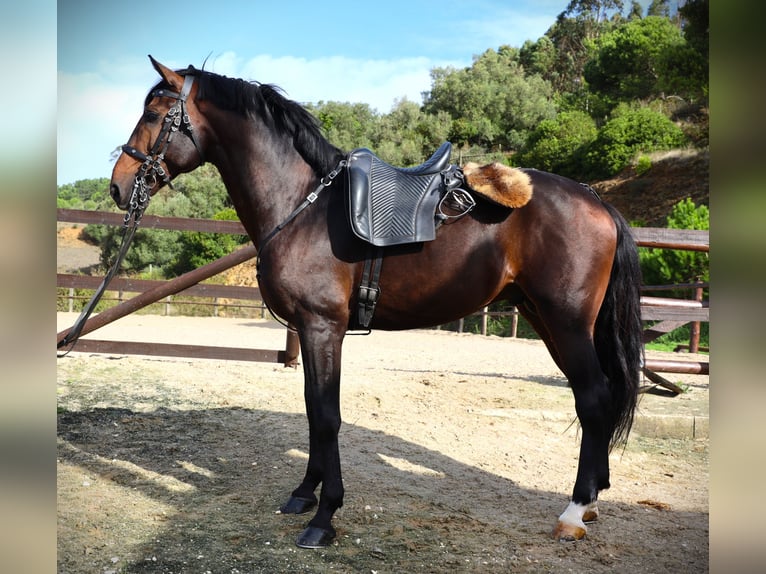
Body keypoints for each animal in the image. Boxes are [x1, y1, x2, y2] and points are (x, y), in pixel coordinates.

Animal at [109, 57, 648, 548]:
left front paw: (324, 516)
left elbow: (327, 415)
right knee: (594, 397)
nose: (118, 184)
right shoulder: (310, 330)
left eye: (155, 114)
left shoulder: (322, 326)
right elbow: (313, 411)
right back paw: (592, 500)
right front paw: (304, 493)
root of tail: (598, 202)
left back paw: (574, 512)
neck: (302, 204)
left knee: (594, 398)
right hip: (547, 320)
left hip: (567, 321)